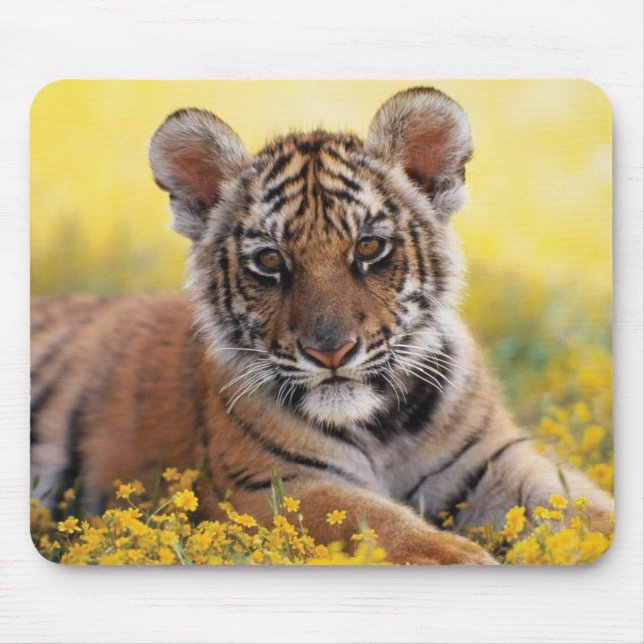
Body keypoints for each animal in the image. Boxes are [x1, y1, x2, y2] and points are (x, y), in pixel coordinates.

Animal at [31, 87, 614, 565]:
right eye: (270, 261)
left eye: (369, 248)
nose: (330, 352)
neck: (384, 427)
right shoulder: (278, 483)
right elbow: (383, 523)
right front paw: (465, 559)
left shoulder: (496, 461)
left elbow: (584, 508)